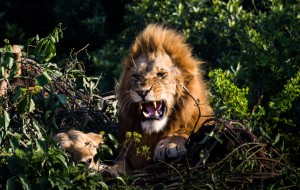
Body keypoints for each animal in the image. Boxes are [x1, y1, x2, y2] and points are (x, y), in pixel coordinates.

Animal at [115, 24, 213, 172]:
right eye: (135, 76)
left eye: (161, 74)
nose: (142, 91)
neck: (153, 133)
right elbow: (120, 161)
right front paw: (110, 169)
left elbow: (183, 132)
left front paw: (169, 145)